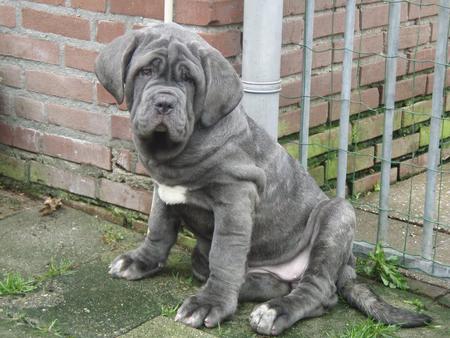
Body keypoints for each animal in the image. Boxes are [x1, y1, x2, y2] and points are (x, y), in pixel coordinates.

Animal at [96, 23, 432, 336]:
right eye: (145, 71)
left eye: (189, 80)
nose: (165, 103)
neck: (176, 151)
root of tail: (347, 266)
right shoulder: (163, 190)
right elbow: (158, 229)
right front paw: (141, 261)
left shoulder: (235, 197)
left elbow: (225, 253)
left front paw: (210, 304)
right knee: (239, 274)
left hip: (336, 216)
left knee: (319, 291)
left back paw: (273, 311)